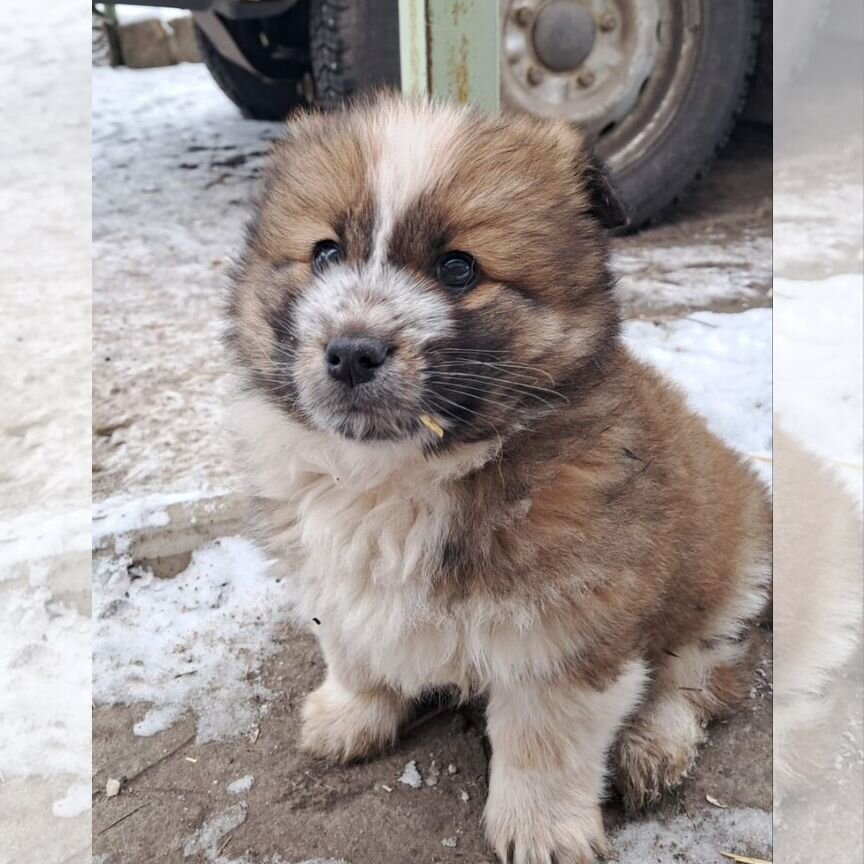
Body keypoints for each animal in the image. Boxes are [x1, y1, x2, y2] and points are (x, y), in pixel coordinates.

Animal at [226, 96, 772, 864]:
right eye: (326, 252)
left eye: (458, 269)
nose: (352, 352)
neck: (396, 477)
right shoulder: (332, 577)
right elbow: (352, 649)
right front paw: (350, 715)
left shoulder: (569, 629)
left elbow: (543, 741)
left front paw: (542, 829)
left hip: (721, 588)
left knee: (704, 676)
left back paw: (652, 747)